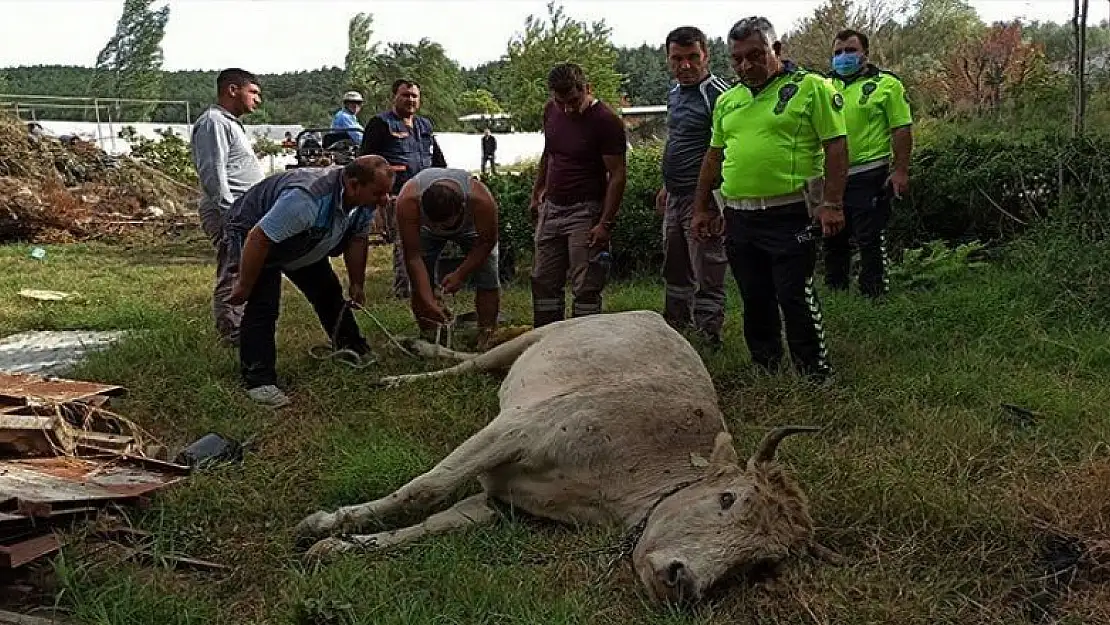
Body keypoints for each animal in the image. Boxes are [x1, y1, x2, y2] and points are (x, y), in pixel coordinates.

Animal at [295, 310, 834, 608]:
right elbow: (426, 487)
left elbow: (435, 521)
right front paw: (327, 522)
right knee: (471, 362)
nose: (683, 581)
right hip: (542, 333)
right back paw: (407, 366)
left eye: (759, 564)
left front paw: (342, 547)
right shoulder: (514, 430)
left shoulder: (500, 502)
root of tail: (655, 317)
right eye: (726, 499)